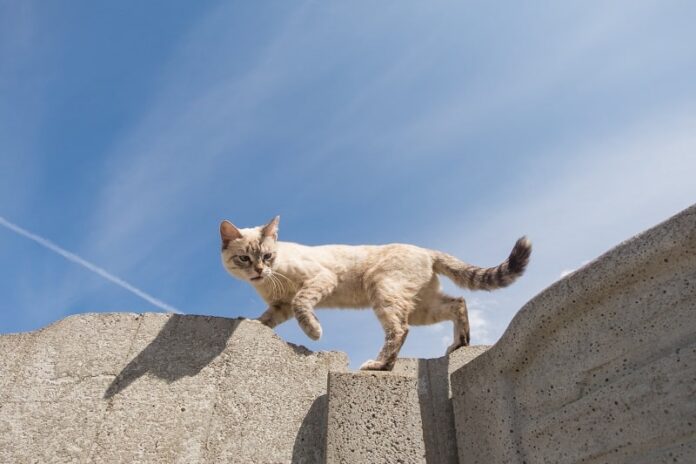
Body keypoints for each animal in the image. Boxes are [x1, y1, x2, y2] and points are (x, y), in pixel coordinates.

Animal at [220, 216, 532, 372]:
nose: (259, 270)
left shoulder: (320, 280)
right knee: (458, 302)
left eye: (267, 256)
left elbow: (302, 304)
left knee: (399, 330)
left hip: (383, 291)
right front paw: (254, 323)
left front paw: (314, 332)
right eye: (245, 259)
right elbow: (266, 319)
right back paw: (459, 344)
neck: (268, 282)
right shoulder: (280, 306)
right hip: (422, 307)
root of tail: (426, 250)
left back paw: (379, 364)